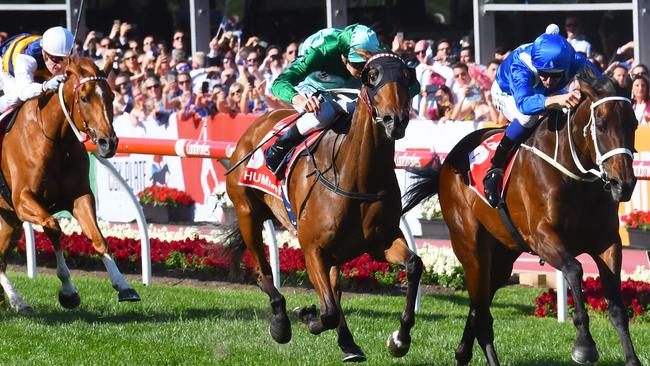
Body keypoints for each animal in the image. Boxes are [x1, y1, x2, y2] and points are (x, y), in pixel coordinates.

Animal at [0, 56, 140, 312]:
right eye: (84, 97)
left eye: (111, 96)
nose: (108, 143)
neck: (54, 138)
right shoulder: (23, 199)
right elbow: (53, 227)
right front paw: (68, 290)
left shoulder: (80, 196)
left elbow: (98, 237)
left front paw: (124, 286)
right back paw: (16, 299)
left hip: (10, 219)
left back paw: (16, 301)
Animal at [225, 50, 422, 362]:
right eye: (371, 76)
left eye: (407, 75)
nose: (396, 120)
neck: (356, 177)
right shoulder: (312, 249)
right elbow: (327, 311)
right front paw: (305, 315)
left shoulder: (382, 241)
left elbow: (414, 265)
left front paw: (399, 339)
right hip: (247, 212)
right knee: (263, 273)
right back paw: (281, 323)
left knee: (333, 289)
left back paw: (348, 344)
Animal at [402, 66, 640, 366]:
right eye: (601, 123)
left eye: (633, 123)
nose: (624, 184)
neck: (575, 174)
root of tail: (448, 162)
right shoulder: (542, 236)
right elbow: (574, 268)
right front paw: (584, 344)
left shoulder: (607, 242)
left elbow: (617, 306)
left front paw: (632, 359)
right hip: (470, 246)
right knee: (482, 311)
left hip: (502, 255)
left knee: (479, 305)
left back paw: (461, 352)